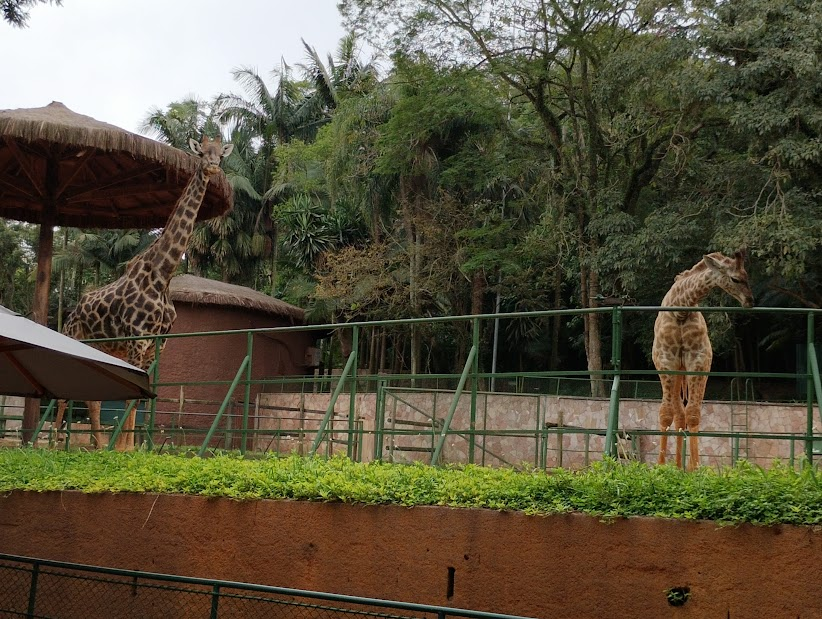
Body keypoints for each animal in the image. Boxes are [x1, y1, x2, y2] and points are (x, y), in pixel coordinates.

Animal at [52, 136, 233, 449]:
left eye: (220, 155)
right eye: (201, 154)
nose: (212, 168)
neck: (163, 274)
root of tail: (70, 315)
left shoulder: (156, 345)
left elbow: (141, 399)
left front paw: (127, 448)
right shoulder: (137, 339)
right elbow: (131, 398)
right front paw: (124, 449)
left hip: (101, 348)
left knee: (93, 398)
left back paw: (98, 445)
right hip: (77, 341)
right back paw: (52, 442)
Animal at [652, 250, 754, 471]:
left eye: (747, 276)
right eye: (735, 278)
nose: (750, 301)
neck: (680, 310)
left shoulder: (699, 361)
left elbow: (693, 414)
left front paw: (695, 468)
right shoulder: (666, 361)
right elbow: (666, 413)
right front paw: (661, 467)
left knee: (682, 413)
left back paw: (681, 467)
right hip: (676, 370)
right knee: (676, 412)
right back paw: (675, 466)